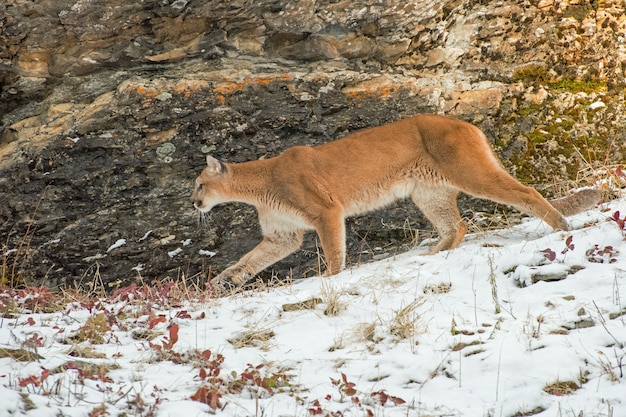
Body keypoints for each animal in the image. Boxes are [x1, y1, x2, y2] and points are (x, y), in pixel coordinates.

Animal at [191, 113, 600, 290]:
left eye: (198, 185)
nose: (194, 203)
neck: (259, 183)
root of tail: (466, 123)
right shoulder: (283, 235)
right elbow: (250, 260)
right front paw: (223, 281)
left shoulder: (326, 210)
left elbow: (334, 250)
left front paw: (330, 278)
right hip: (428, 192)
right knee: (457, 225)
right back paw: (432, 255)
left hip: (470, 173)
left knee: (525, 194)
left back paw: (560, 227)